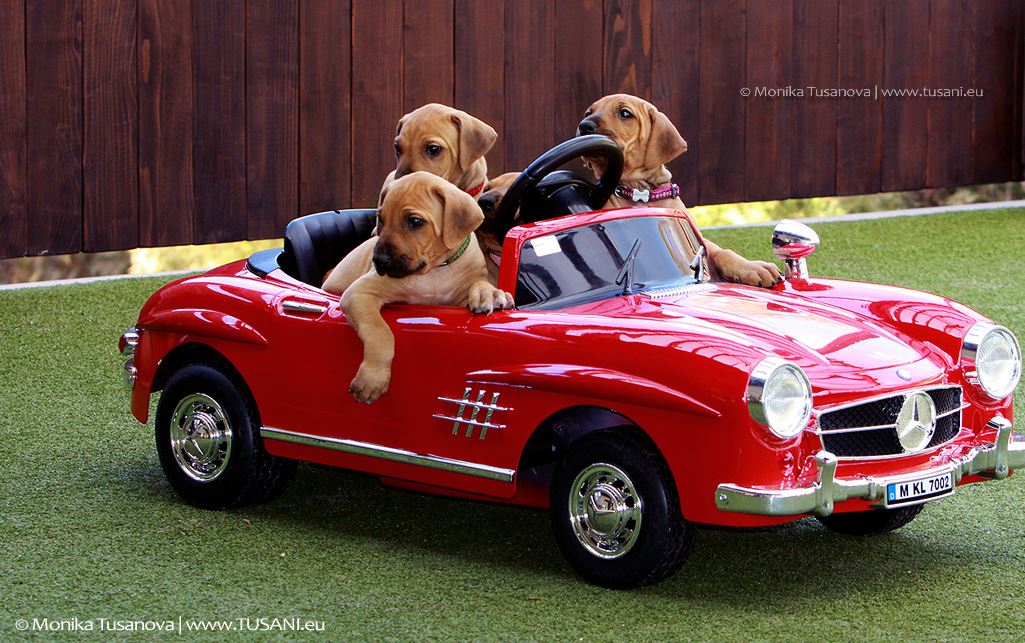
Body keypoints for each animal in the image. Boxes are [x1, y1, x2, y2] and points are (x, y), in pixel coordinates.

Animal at [325, 171, 512, 402]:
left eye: (415, 221)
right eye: (381, 220)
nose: (379, 261)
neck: (434, 271)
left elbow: (479, 284)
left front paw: (490, 294)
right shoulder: (359, 293)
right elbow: (380, 331)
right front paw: (373, 378)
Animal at [574, 94, 779, 287]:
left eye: (625, 113)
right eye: (588, 113)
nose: (584, 125)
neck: (640, 195)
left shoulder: (697, 240)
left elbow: (722, 251)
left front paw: (753, 267)